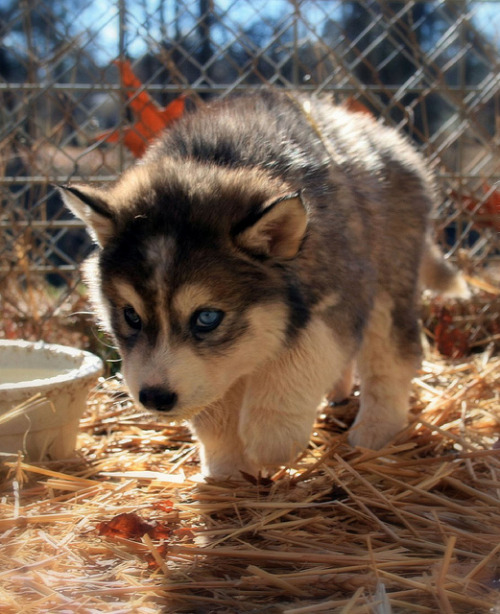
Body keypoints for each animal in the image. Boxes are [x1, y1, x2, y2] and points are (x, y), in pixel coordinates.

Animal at [59, 89, 468, 478]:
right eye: (131, 316)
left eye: (206, 318)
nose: (155, 397)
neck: (216, 161)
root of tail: (386, 135)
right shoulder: (214, 369)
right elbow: (215, 408)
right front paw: (227, 468)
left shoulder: (340, 294)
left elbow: (299, 359)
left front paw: (272, 438)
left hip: (388, 279)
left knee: (392, 355)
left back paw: (375, 430)